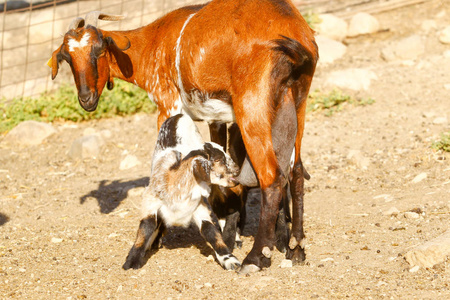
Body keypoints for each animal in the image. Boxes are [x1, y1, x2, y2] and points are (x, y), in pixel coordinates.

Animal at [51, 0, 318, 274]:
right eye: (66, 57)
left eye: (99, 50)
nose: (86, 99)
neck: (153, 43)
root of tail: (295, 29)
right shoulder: (216, 117)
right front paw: (226, 229)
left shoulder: (168, 105)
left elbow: (164, 159)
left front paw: (157, 234)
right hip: (296, 103)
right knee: (296, 172)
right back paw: (296, 249)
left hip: (253, 107)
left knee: (272, 178)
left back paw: (255, 258)